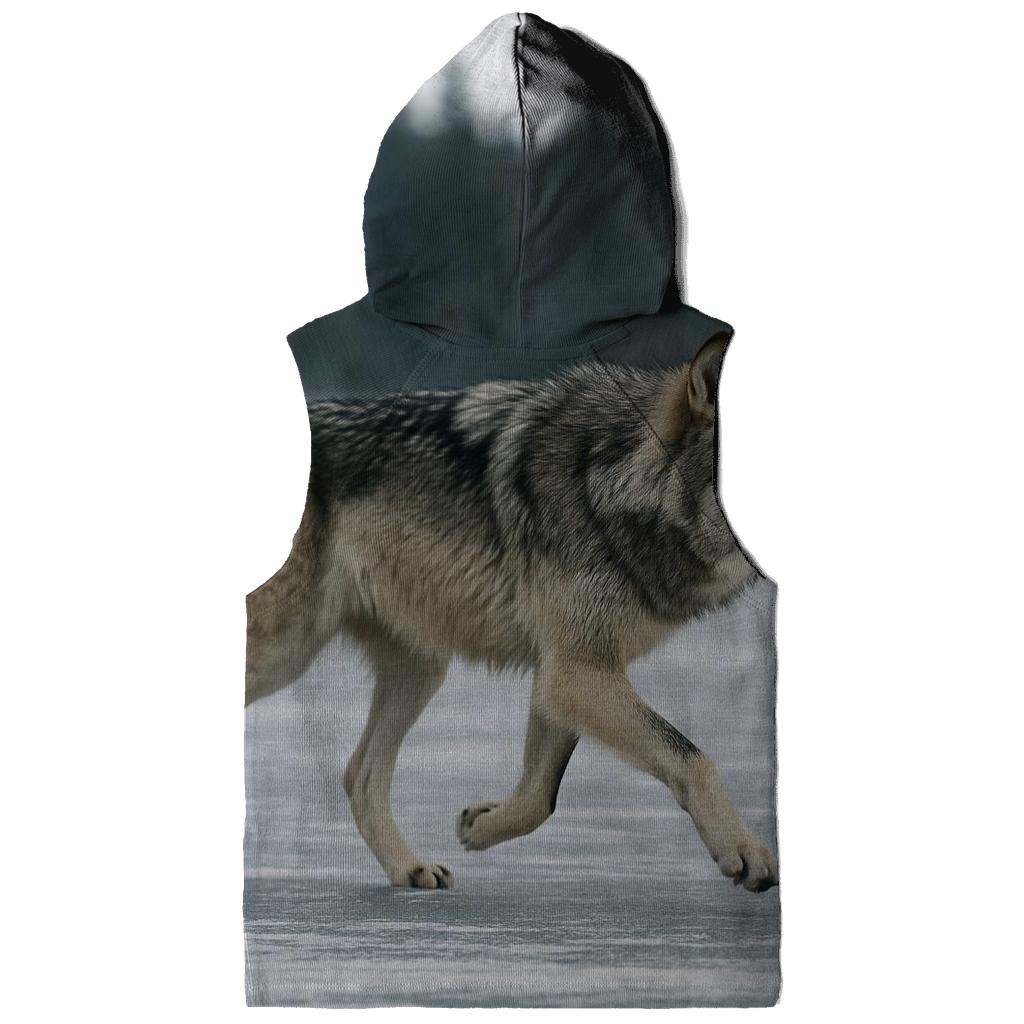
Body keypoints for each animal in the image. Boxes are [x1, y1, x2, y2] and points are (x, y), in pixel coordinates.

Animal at [246, 336, 778, 893]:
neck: (608, 476)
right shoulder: (575, 671)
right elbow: (691, 757)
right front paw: (745, 851)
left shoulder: (565, 671)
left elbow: (540, 797)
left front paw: (480, 827)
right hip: (285, 652)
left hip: (421, 669)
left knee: (360, 774)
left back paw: (409, 867)